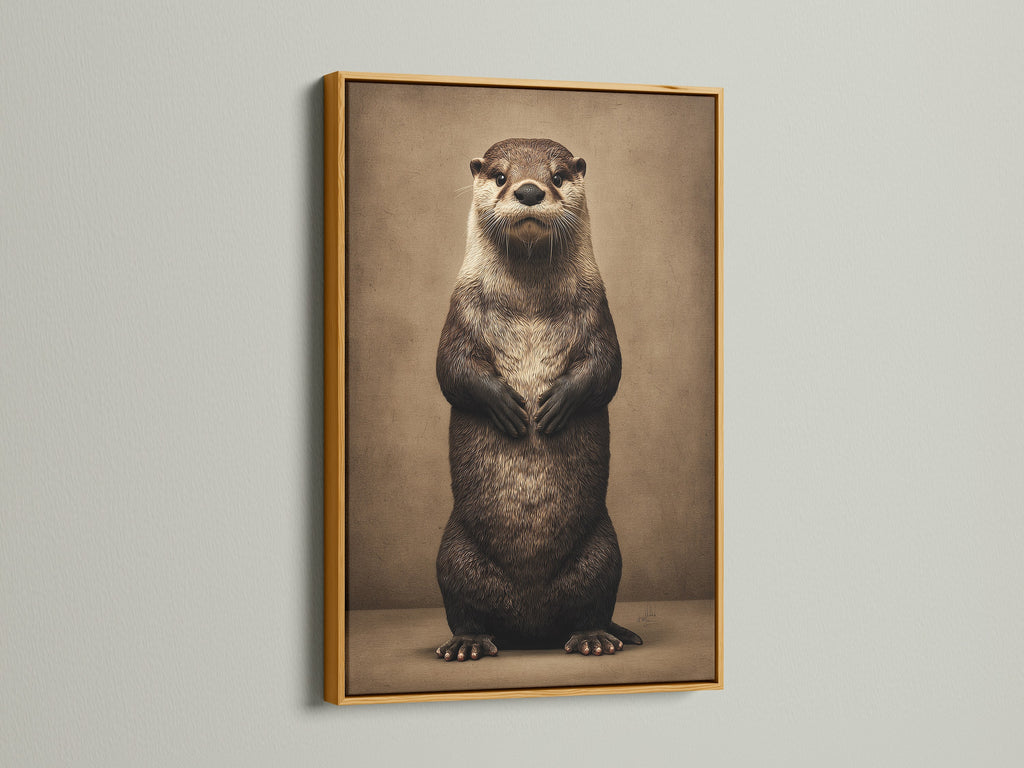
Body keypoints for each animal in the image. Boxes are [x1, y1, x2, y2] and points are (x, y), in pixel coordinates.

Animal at [434, 138, 641, 662]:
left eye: (558, 176)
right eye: (501, 176)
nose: (529, 191)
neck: (527, 304)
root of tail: (530, 629)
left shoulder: (597, 309)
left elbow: (607, 368)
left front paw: (556, 404)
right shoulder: (459, 310)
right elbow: (450, 370)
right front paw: (507, 406)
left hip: (604, 550)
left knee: (593, 603)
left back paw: (594, 638)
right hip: (453, 553)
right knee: (462, 607)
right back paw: (467, 643)